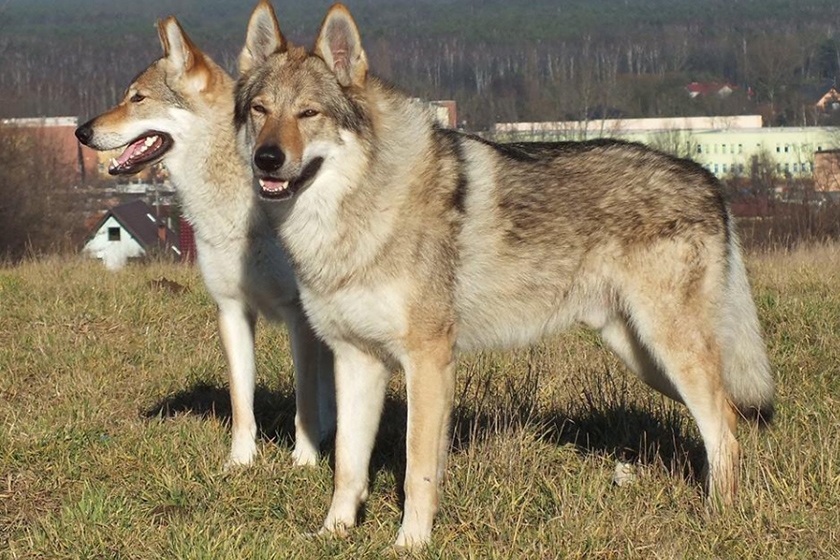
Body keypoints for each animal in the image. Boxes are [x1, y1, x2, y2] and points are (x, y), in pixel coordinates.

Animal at [75, 16, 335, 469]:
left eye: (137, 98)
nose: (81, 131)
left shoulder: (298, 314)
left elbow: (305, 397)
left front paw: (304, 460)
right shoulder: (231, 310)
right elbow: (241, 400)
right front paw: (241, 462)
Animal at [235, 1, 774, 549]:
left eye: (309, 113)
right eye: (260, 110)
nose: (267, 158)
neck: (354, 215)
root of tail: (708, 179)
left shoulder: (427, 361)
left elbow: (416, 469)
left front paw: (411, 543)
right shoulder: (354, 360)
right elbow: (347, 464)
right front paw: (334, 533)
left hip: (670, 350)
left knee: (725, 429)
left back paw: (717, 518)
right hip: (642, 355)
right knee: (723, 422)